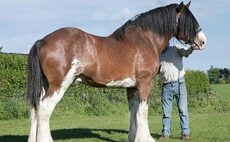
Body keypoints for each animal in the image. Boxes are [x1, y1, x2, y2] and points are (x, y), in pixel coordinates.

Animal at [26, 1, 207, 142]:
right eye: (189, 20)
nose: (203, 41)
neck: (145, 40)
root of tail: (42, 41)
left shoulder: (132, 88)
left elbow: (133, 112)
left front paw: (133, 138)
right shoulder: (145, 84)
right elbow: (143, 111)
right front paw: (146, 138)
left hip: (44, 86)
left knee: (36, 109)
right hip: (59, 85)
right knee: (45, 109)